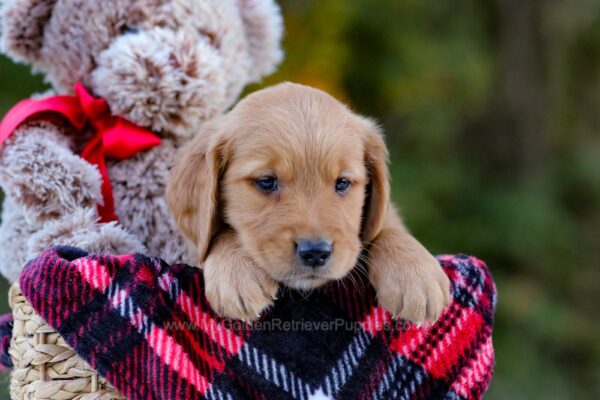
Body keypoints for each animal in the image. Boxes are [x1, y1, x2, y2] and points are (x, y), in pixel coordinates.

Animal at [166, 83, 448, 324]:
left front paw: (416, 275)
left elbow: (388, 230)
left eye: (342, 183)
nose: (316, 252)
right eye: (266, 181)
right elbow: (221, 235)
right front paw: (237, 273)